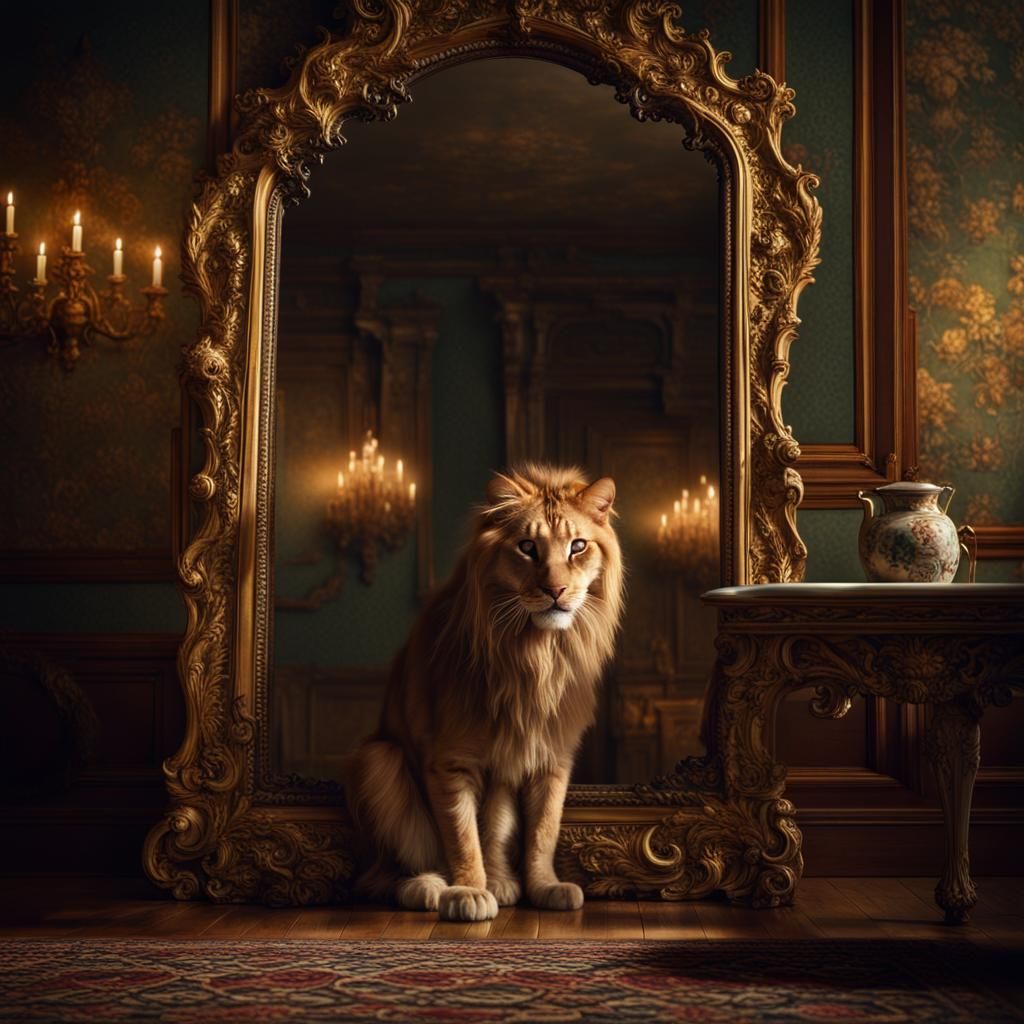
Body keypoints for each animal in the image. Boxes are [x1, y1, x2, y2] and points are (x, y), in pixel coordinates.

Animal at [346, 463, 624, 921]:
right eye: (527, 547)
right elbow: (461, 835)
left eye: (578, 546)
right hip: (378, 758)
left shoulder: (551, 755)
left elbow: (542, 830)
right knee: (383, 877)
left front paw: (544, 886)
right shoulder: (449, 760)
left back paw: (502, 882)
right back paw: (429, 888)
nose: (555, 591)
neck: (536, 654)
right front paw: (468, 893)